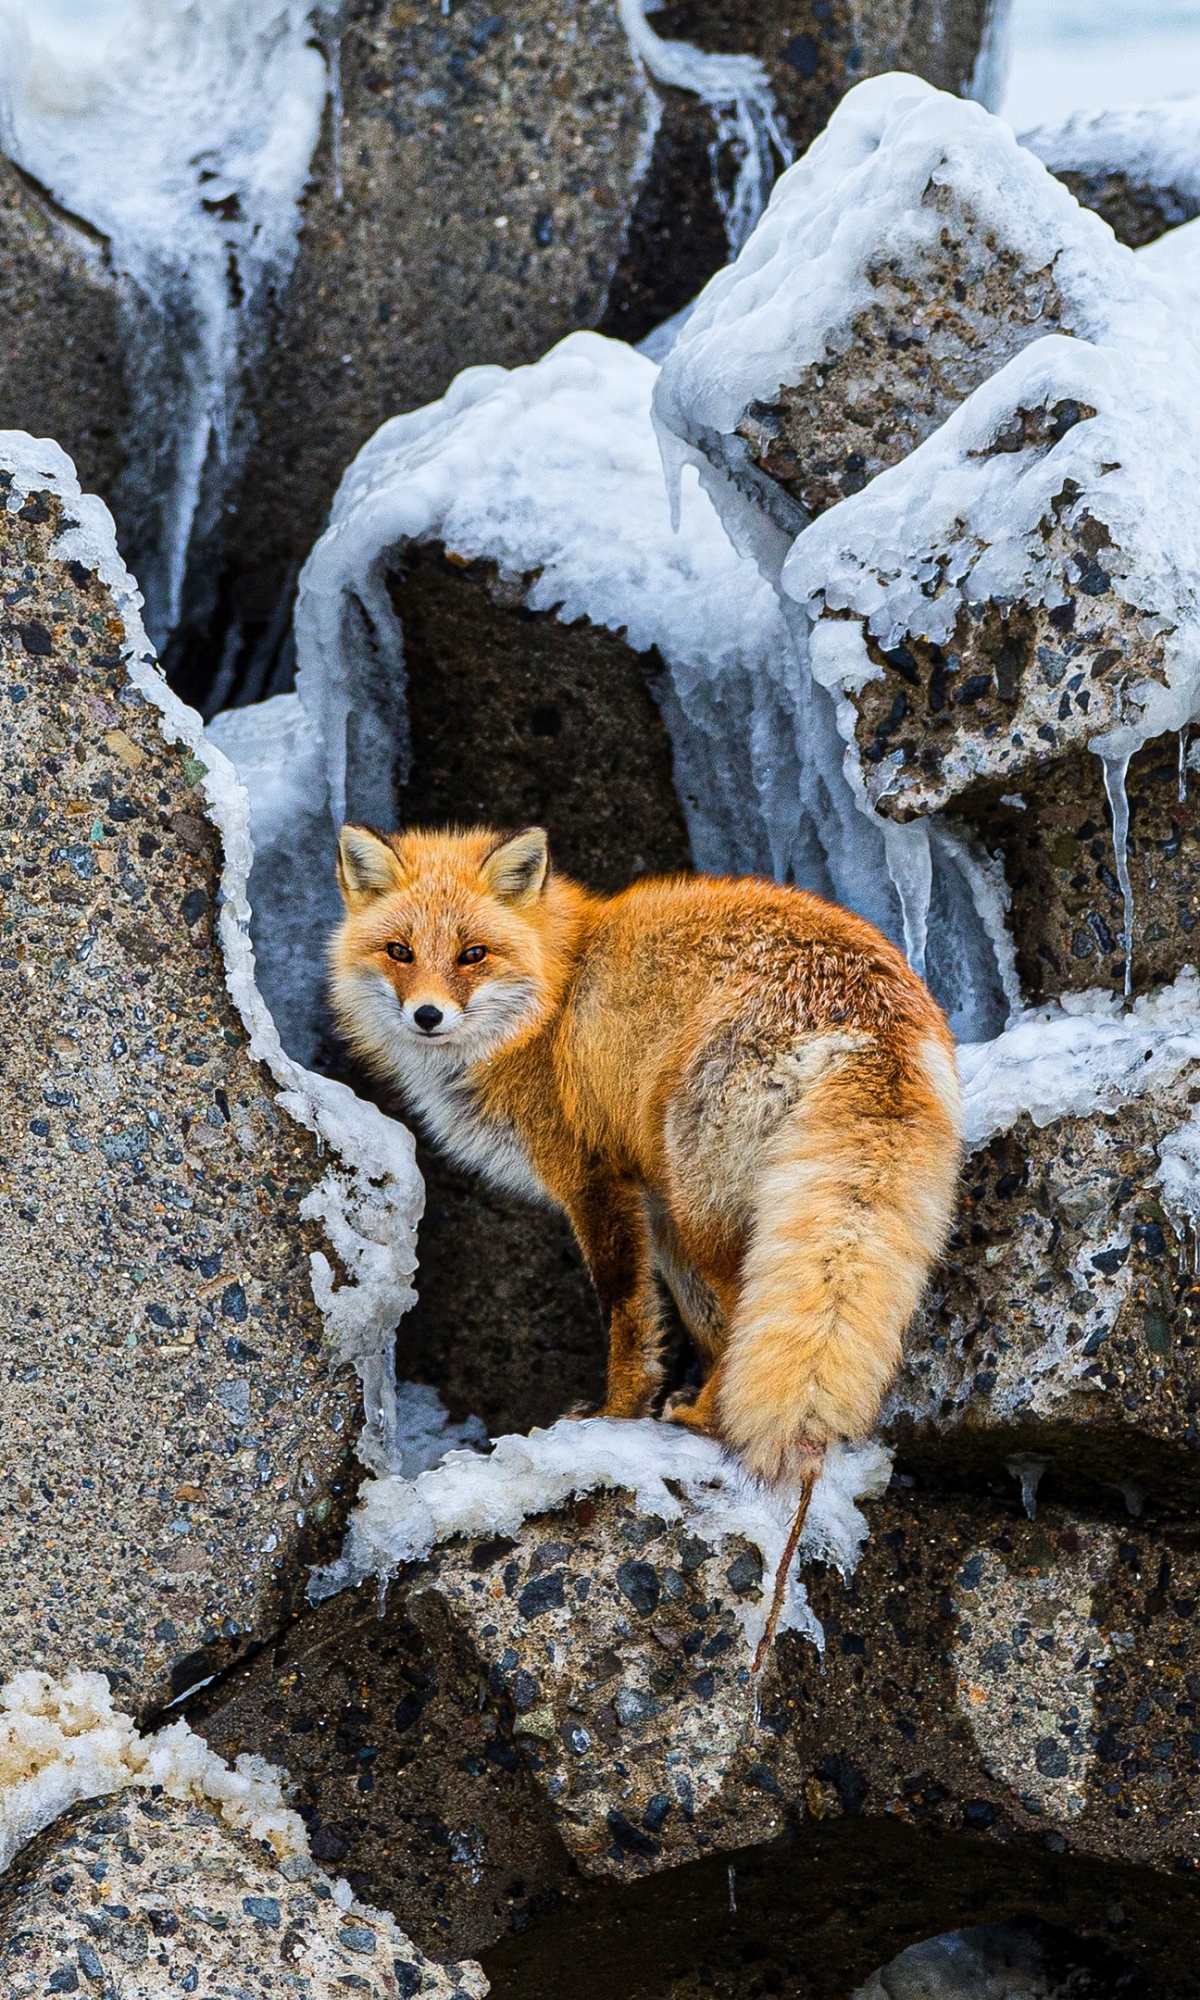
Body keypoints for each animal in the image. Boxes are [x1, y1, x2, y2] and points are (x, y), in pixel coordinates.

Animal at [328, 816, 964, 1512]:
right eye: (399, 951)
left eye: (474, 954)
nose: (427, 1016)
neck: (549, 1007)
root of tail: (870, 1017)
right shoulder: (653, 1200)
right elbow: (698, 1318)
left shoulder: (596, 1179)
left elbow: (627, 1312)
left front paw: (616, 1415)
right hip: (701, 1201)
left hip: (704, 1202)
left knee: (746, 1306)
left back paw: (704, 1421)